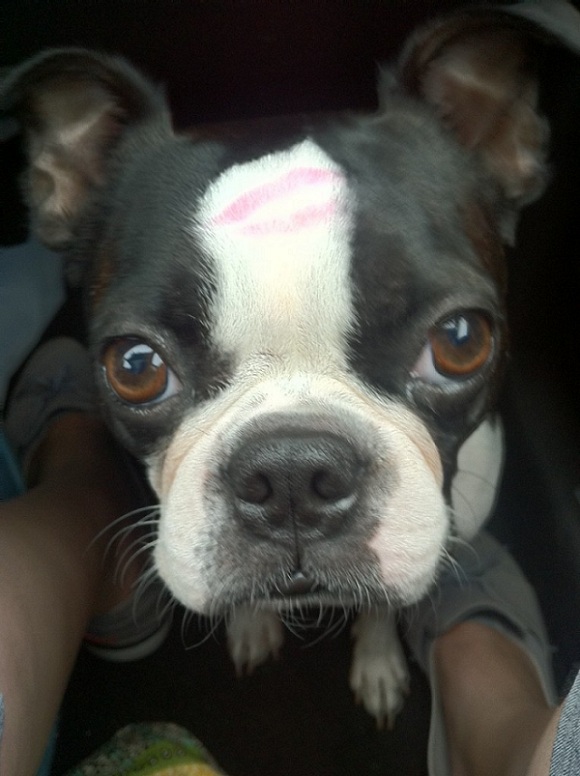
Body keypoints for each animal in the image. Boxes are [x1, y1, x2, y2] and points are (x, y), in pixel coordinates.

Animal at [2, 1, 576, 728]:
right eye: (134, 366)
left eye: (460, 339)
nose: (293, 472)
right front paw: (251, 625)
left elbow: (384, 602)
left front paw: (378, 661)